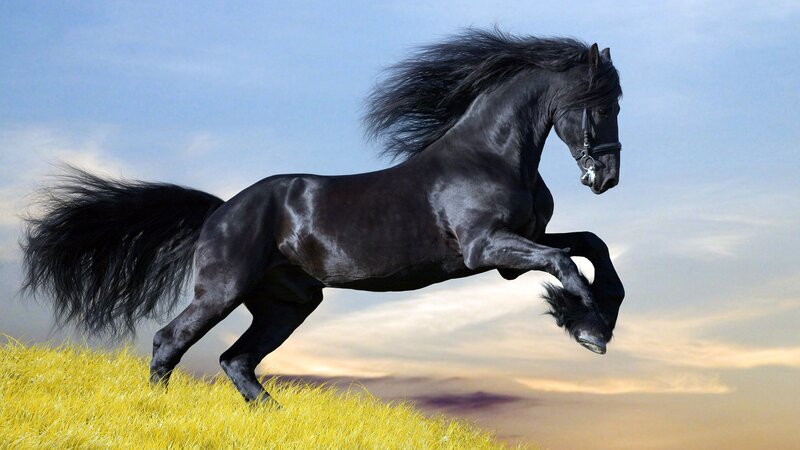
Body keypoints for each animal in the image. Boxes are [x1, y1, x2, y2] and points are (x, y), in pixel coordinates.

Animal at [21, 29, 625, 405]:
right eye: (601, 103)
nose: (606, 178)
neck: (490, 155)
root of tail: (221, 211)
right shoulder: (487, 249)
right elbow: (565, 263)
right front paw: (588, 328)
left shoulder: (517, 247)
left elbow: (591, 245)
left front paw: (597, 316)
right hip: (223, 290)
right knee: (170, 341)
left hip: (287, 304)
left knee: (236, 360)